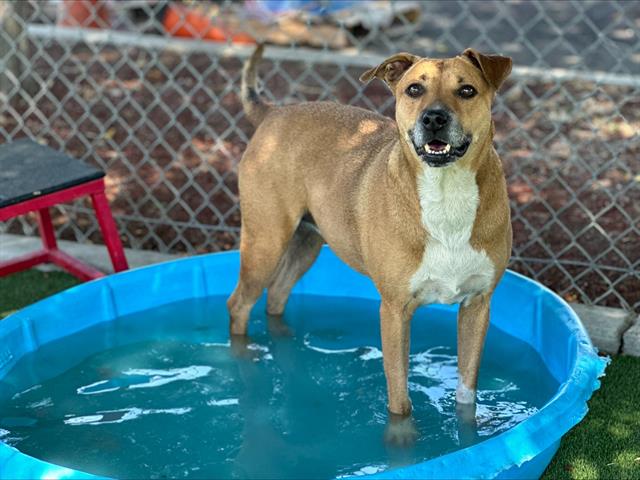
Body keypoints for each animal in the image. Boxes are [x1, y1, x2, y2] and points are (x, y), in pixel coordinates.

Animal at [228, 47, 512, 424]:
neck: (446, 193)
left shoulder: (477, 305)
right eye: (414, 90)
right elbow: (400, 401)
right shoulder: (394, 311)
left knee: (276, 295)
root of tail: (275, 112)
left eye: (467, 90)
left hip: (306, 242)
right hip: (265, 242)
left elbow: (467, 392)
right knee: (239, 304)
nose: (434, 119)